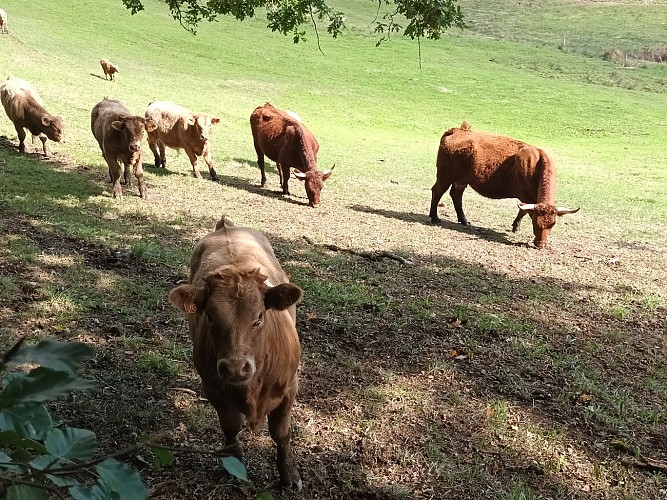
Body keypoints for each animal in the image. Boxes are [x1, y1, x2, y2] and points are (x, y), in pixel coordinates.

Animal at [168, 217, 304, 490]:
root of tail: (226, 226)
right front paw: (234, 465)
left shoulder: (289, 387)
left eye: (259, 317)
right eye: (210, 316)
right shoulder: (213, 389)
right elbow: (230, 427)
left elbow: (281, 433)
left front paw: (289, 474)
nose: (235, 367)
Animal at [434, 123, 580, 248]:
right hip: (445, 176)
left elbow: (522, 211)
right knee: (437, 191)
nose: (540, 244)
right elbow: (524, 210)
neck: (536, 164)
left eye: (552, 225)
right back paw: (434, 217)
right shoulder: (525, 197)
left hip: (461, 180)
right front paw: (516, 226)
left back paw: (464, 220)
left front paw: (516, 226)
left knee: (456, 195)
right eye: (535, 223)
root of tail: (457, 130)